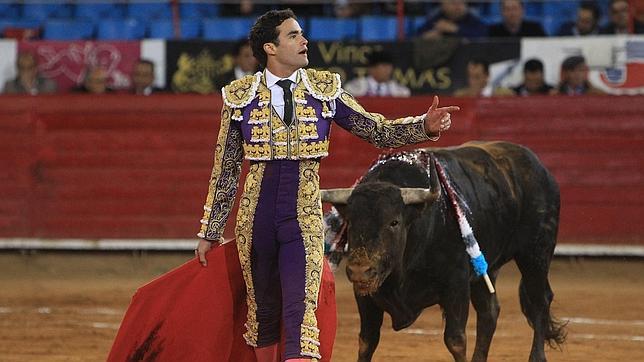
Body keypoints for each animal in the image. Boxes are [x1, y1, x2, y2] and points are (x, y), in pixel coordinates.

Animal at [320, 141, 564, 362]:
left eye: (394, 222)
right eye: (350, 221)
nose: (360, 271)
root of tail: (539, 167)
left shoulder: (457, 287)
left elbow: (455, 340)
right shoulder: (365, 296)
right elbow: (367, 341)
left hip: (535, 254)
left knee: (540, 301)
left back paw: (537, 357)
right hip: (486, 268)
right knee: (489, 311)